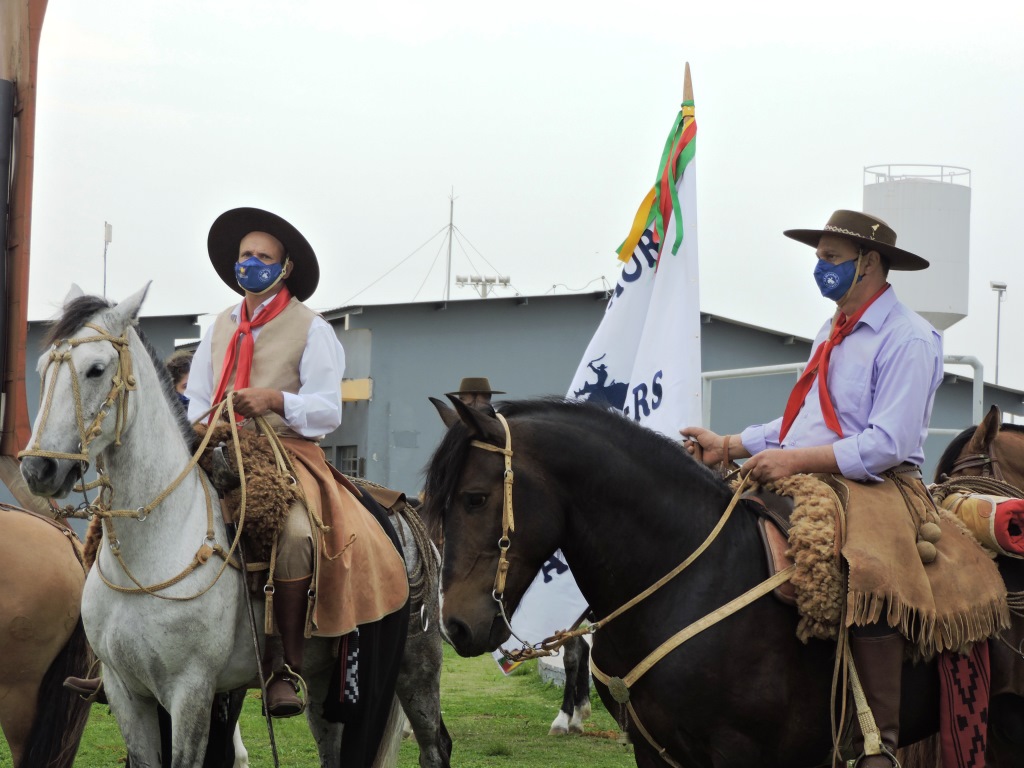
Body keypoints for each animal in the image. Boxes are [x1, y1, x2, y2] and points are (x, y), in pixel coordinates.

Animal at [19, 286, 403, 765]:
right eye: (42, 368)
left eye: (96, 369)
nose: (38, 469)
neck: (152, 553)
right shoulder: (125, 691)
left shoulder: (191, 692)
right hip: (321, 688)